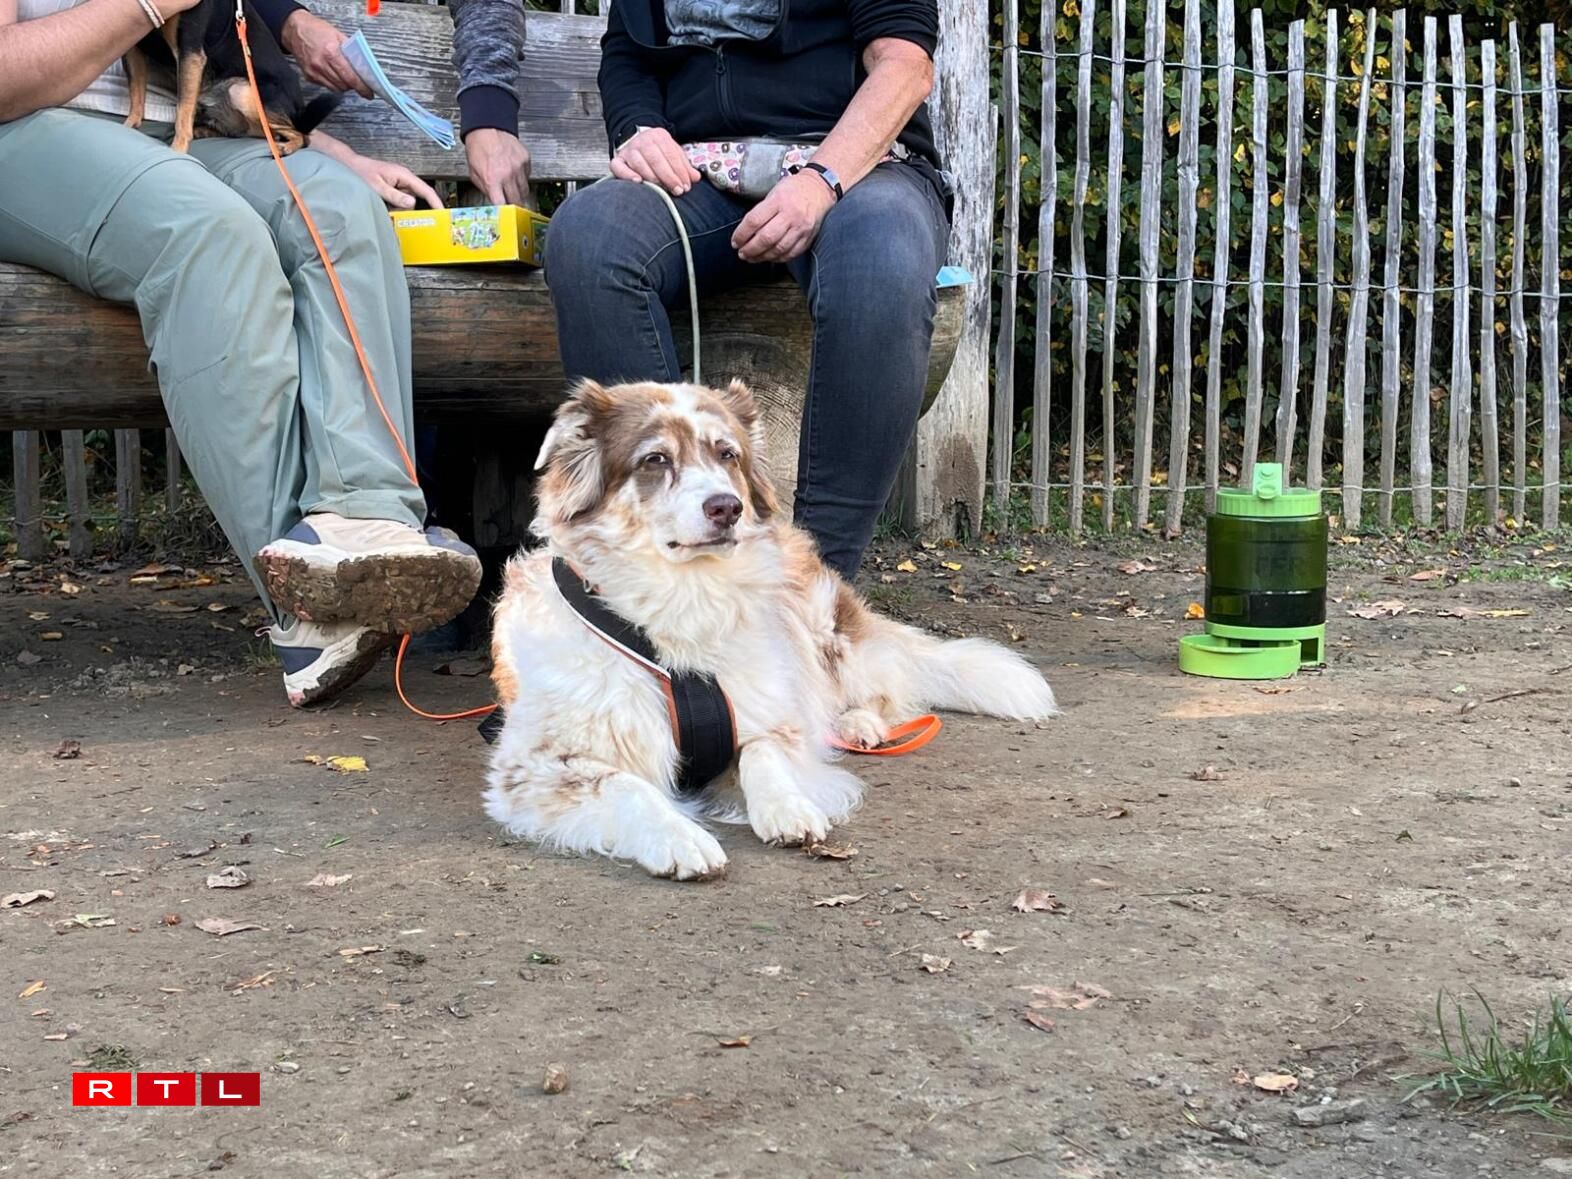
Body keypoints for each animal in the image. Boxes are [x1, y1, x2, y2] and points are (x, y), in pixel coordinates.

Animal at [123, 0, 341, 154]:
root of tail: (299, 109)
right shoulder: (134, 47)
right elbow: (136, 92)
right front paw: (128, 126)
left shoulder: (190, 51)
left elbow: (183, 111)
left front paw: (177, 150)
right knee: (251, 131)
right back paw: (204, 130)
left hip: (241, 91)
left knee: (300, 135)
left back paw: (286, 147)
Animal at [483, 378, 1059, 880]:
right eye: (655, 459)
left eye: (728, 455)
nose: (727, 507)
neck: (684, 603)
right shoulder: (535, 767)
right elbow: (626, 787)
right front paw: (679, 836)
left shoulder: (771, 713)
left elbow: (765, 751)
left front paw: (788, 806)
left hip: (821, 629)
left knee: (881, 690)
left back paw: (858, 724)